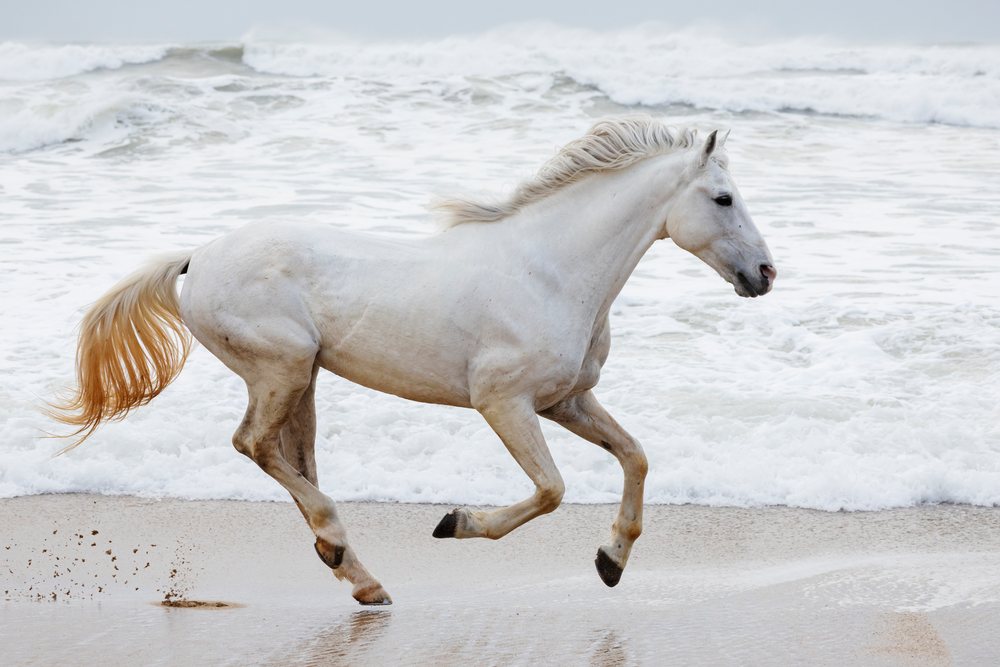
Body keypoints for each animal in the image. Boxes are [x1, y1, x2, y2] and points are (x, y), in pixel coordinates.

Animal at [51, 116, 776, 605]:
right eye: (723, 198)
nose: (766, 274)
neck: (551, 272)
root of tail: (196, 257)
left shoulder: (564, 400)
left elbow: (635, 456)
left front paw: (611, 560)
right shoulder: (503, 402)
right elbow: (551, 489)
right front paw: (456, 523)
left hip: (303, 377)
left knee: (292, 458)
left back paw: (355, 571)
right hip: (281, 367)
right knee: (254, 444)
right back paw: (345, 552)